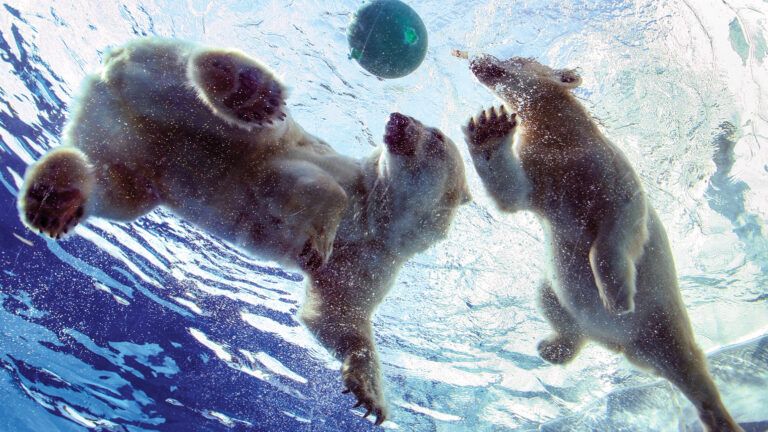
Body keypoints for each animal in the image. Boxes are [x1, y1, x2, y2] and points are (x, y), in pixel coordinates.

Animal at [18, 38, 472, 426]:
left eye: (434, 135)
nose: (398, 118)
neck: (377, 218)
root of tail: (108, 72)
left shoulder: (369, 262)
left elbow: (336, 314)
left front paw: (370, 397)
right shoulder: (331, 170)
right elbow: (317, 187)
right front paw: (315, 240)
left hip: (129, 148)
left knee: (115, 186)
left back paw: (54, 198)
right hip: (183, 93)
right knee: (224, 93)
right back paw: (248, 91)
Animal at [464, 54, 740, 432]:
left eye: (517, 59)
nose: (478, 60)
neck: (565, 135)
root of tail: (626, 347)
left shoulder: (606, 168)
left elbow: (620, 222)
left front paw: (616, 294)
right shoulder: (542, 174)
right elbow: (512, 193)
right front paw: (488, 129)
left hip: (665, 320)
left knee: (692, 370)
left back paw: (719, 416)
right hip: (565, 298)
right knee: (553, 301)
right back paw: (554, 347)